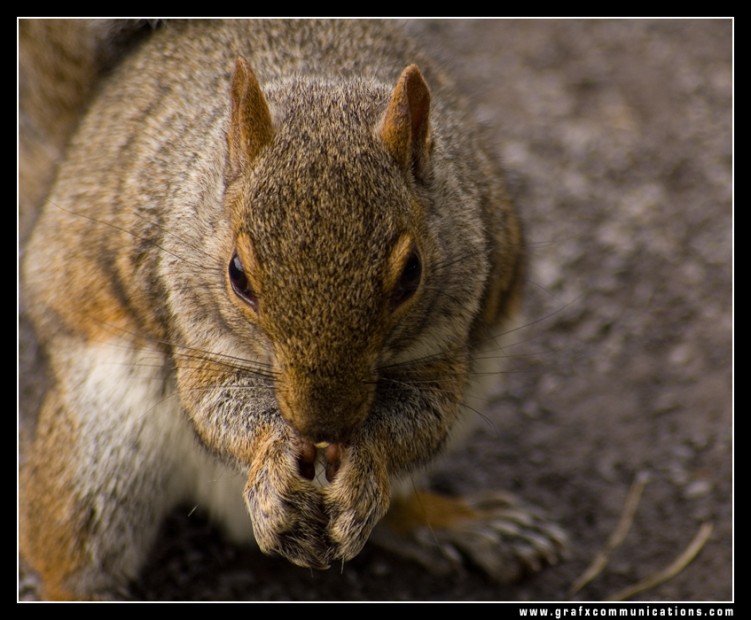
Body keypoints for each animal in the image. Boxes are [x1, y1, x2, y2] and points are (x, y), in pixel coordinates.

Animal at [17, 20, 568, 600]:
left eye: (412, 273)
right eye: (237, 275)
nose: (321, 426)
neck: (322, 90)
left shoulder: (447, 332)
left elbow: (425, 411)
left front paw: (364, 468)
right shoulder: (189, 318)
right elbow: (215, 402)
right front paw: (273, 458)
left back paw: (469, 524)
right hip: (100, 447)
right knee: (68, 548)